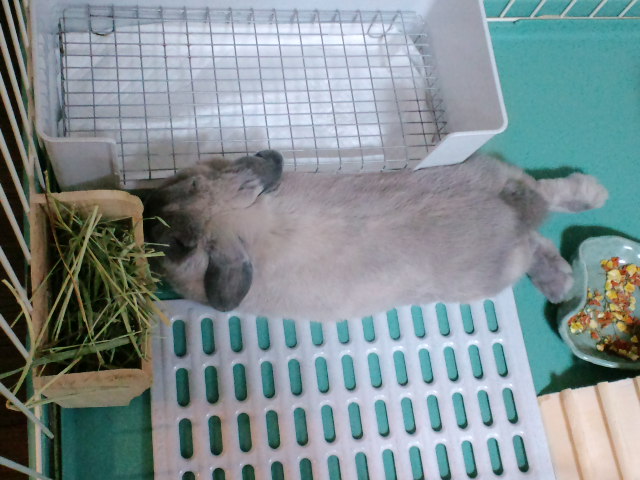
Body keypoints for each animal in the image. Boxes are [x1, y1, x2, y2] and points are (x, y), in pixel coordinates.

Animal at [143, 150, 608, 322]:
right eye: (188, 182)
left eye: (182, 245)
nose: (149, 209)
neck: (257, 227)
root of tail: (512, 214)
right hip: (499, 177)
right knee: (545, 205)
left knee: (536, 234)